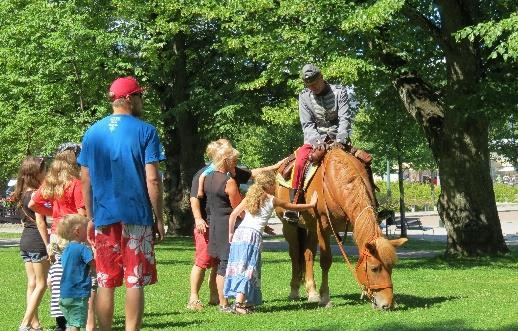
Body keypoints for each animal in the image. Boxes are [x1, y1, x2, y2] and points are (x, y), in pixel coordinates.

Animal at [276, 148, 410, 312]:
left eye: (391, 266)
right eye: (374, 268)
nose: (387, 304)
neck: (335, 181)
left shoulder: (355, 223)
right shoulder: (323, 227)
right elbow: (326, 261)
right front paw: (325, 298)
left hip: (311, 227)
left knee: (308, 255)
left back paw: (312, 292)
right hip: (289, 226)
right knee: (295, 255)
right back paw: (294, 291)